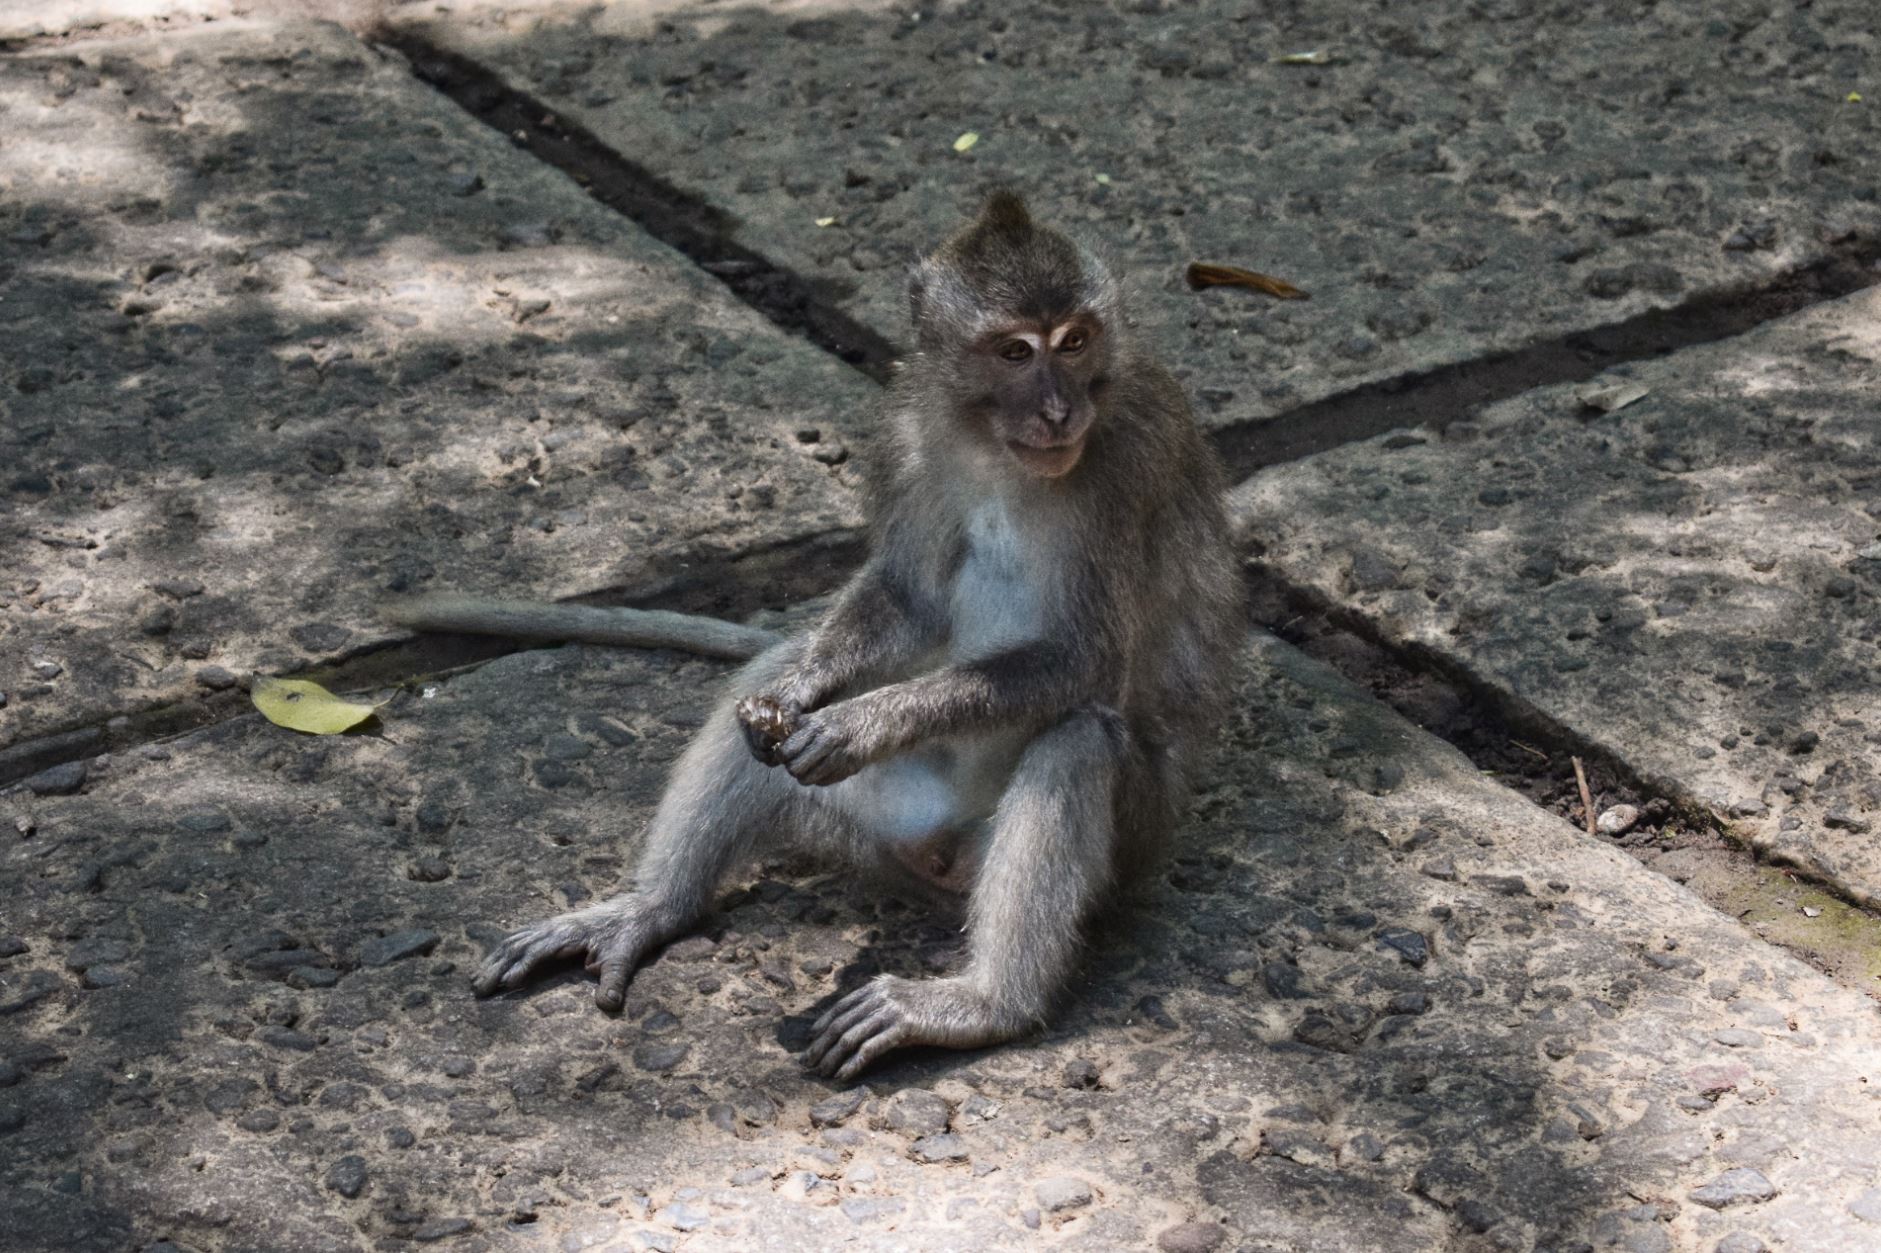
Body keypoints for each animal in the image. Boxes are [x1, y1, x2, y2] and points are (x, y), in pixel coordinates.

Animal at [384, 192, 1242, 1080]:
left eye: (1075, 341)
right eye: (1014, 350)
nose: (1058, 409)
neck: (996, 451)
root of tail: (938, 857)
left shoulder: (1131, 459)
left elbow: (1082, 660)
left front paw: (859, 722)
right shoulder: (906, 438)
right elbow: (903, 600)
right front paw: (797, 697)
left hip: (1120, 841)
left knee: (1081, 737)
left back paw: (981, 1003)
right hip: (879, 817)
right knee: (768, 666)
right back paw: (650, 906)